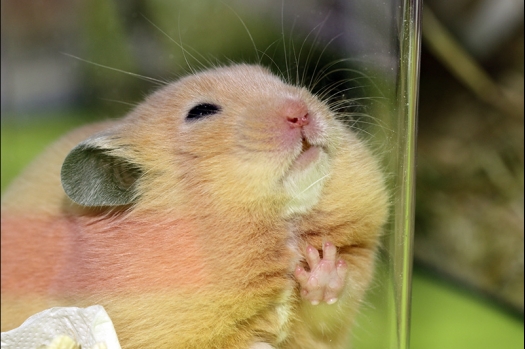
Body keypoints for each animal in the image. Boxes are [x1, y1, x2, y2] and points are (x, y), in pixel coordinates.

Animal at [1, 64, 388, 346]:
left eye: (276, 79)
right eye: (201, 112)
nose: (301, 113)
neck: (281, 225)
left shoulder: (340, 297)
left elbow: (334, 299)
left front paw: (323, 266)